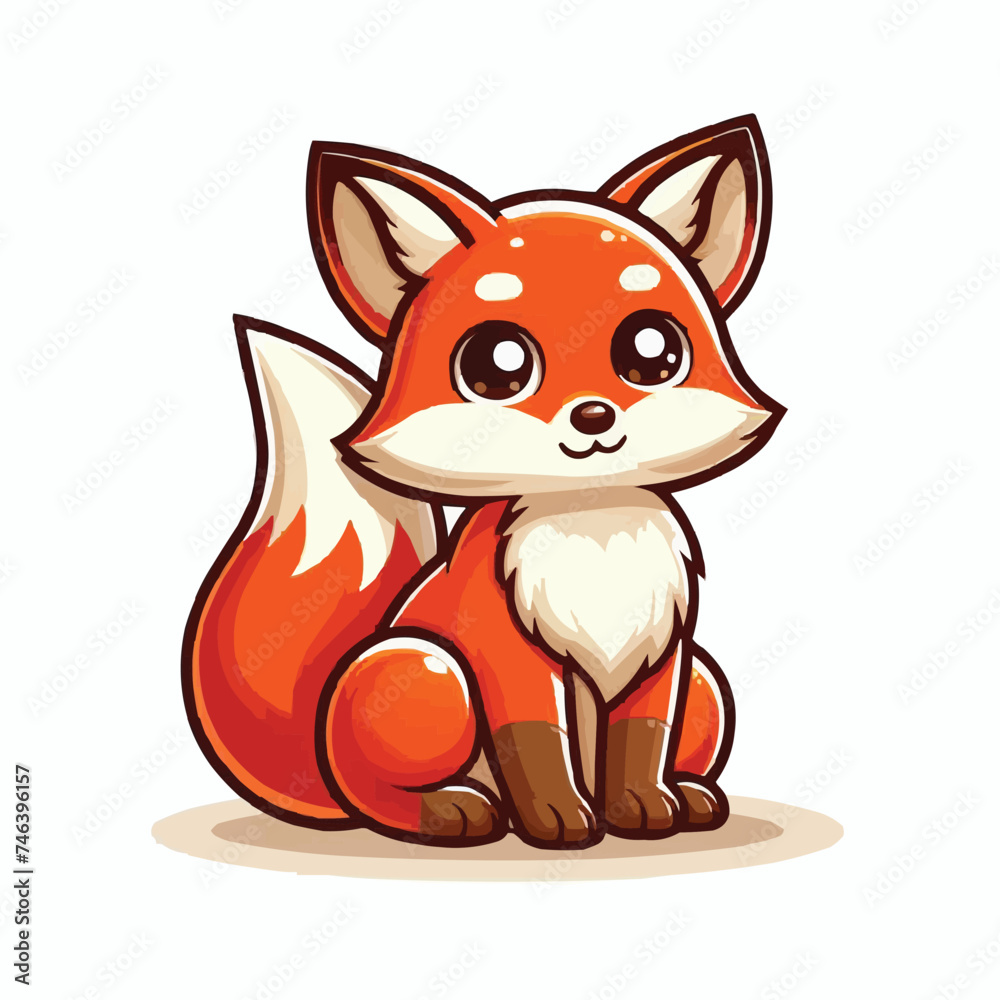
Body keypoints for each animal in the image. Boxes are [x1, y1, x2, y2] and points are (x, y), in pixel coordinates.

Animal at [182, 115, 784, 850]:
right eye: (497, 366)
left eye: (653, 352)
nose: (593, 416)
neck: (590, 525)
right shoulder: (505, 654)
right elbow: (537, 744)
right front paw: (558, 822)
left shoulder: (660, 654)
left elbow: (641, 743)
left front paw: (641, 808)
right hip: (429, 668)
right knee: (374, 792)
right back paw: (451, 811)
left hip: (702, 679)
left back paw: (692, 794)